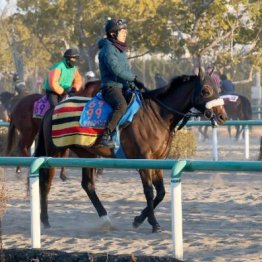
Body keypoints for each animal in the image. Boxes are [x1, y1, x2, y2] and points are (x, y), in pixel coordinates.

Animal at [34, 73, 227, 231]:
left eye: (217, 88)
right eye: (206, 90)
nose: (222, 116)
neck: (157, 115)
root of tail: (52, 109)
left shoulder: (157, 161)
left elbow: (161, 192)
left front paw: (139, 219)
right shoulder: (144, 161)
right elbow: (149, 192)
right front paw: (153, 223)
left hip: (86, 154)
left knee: (88, 185)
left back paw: (105, 219)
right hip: (55, 152)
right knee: (46, 183)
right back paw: (45, 220)